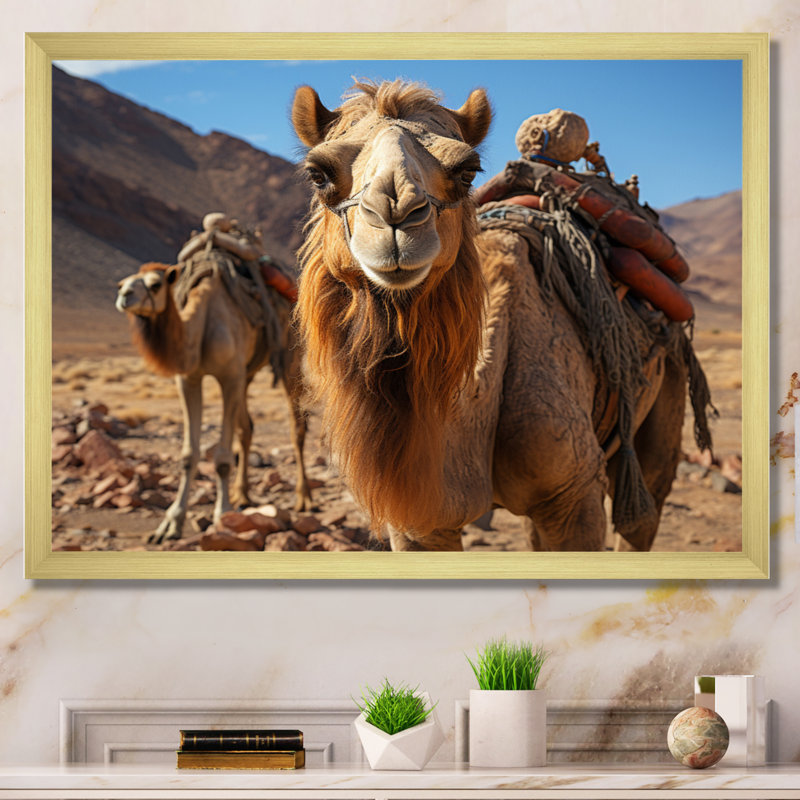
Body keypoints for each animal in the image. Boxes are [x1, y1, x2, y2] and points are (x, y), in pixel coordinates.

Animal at [115, 255, 311, 543]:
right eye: (123, 283)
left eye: (155, 285)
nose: (124, 296)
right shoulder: (188, 379)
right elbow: (189, 454)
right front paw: (170, 524)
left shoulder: (229, 376)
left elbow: (222, 457)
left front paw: (222, 515)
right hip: (247, 373)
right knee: (246, 428)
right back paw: (242, 495)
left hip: (289, 357)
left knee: (296, 428)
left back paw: (304, 499)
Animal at [290, 79, 708, 552]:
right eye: (319, 174)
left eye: (467, 172)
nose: (395, 215)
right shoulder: (419, 521)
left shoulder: (575, 495)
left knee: (642, 511)